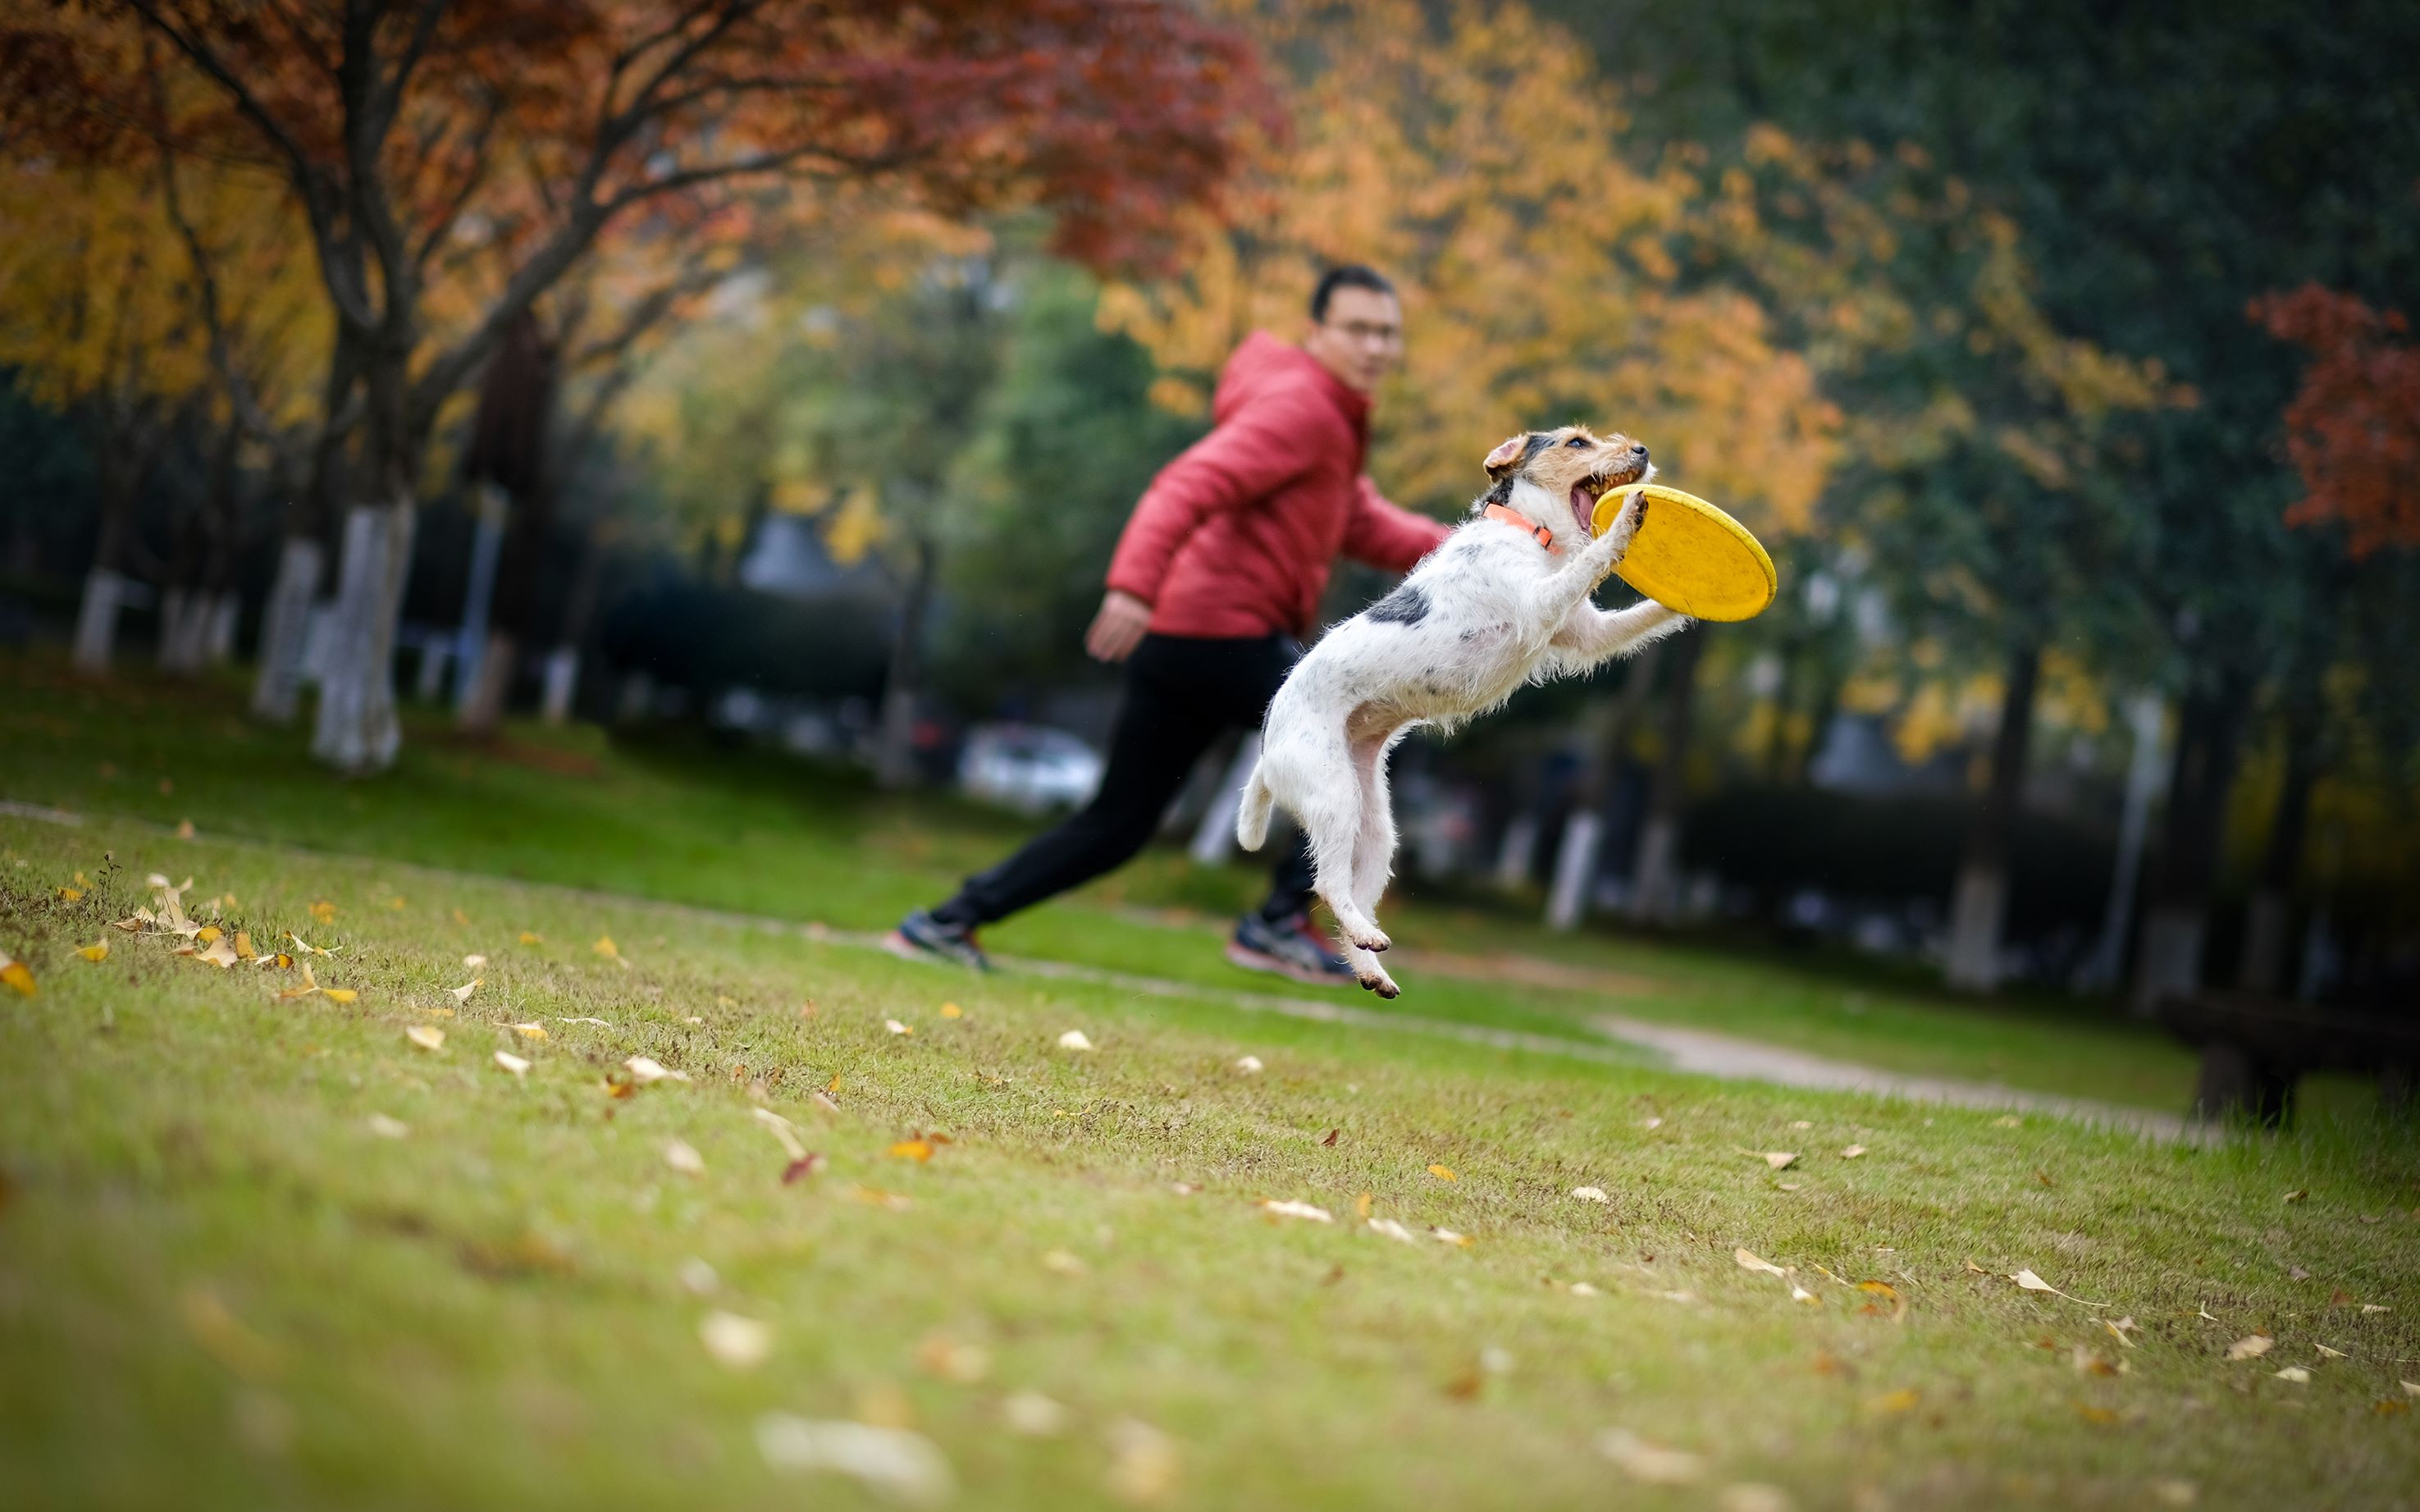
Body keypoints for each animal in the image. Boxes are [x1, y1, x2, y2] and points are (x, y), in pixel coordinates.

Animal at [1239, 425, 1694, 996]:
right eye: (1576, 443)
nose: (1642, 451)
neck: (1527, 531)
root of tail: (1265, 750)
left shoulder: (1583, 633)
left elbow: (1638, 617)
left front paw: (1689, 598)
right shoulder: (1543, 604)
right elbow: (1590, 561)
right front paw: (1625, 524)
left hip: (1376, 830)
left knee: (1349, 895)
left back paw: (1372, 968)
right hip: (1333, 796)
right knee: (1327, 883)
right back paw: (1368, 937)